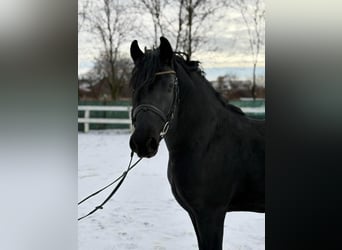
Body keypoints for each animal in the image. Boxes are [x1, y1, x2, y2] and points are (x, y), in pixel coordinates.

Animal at [128, 37, 264, 250]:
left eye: (169, 86)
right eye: (134, 86)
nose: (142, 142)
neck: (207, 141)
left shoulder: (211, 214)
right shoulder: (195, 214)